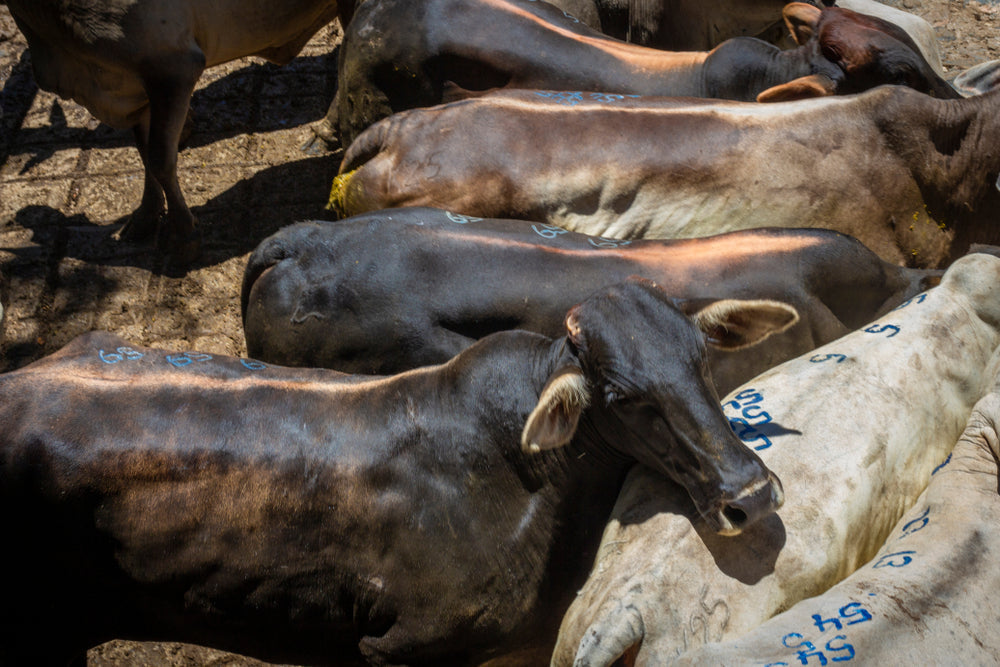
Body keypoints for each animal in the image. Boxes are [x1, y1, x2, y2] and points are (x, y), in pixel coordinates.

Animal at [3, 0, 341, 262]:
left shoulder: (174, 67)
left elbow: (160, 158)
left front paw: (184, 233)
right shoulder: (136, 90)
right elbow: (144, 155)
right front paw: (145, 218)